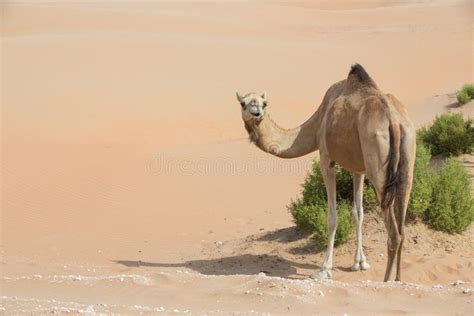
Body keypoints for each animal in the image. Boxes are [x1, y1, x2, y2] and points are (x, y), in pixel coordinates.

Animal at [237, 64, 414, 282]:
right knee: (402, 227)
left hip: (378, 164)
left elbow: (332, 217)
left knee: (394, 234)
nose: (257, 113)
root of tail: (394, 120)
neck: (317, 123)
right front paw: (359, 263)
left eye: (264, 103)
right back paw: (398, 279)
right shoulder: (358, 168)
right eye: (244, 103)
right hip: (407, 158)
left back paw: (386, 281)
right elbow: (358, 212)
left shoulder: (325, 157)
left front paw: (324, 269)